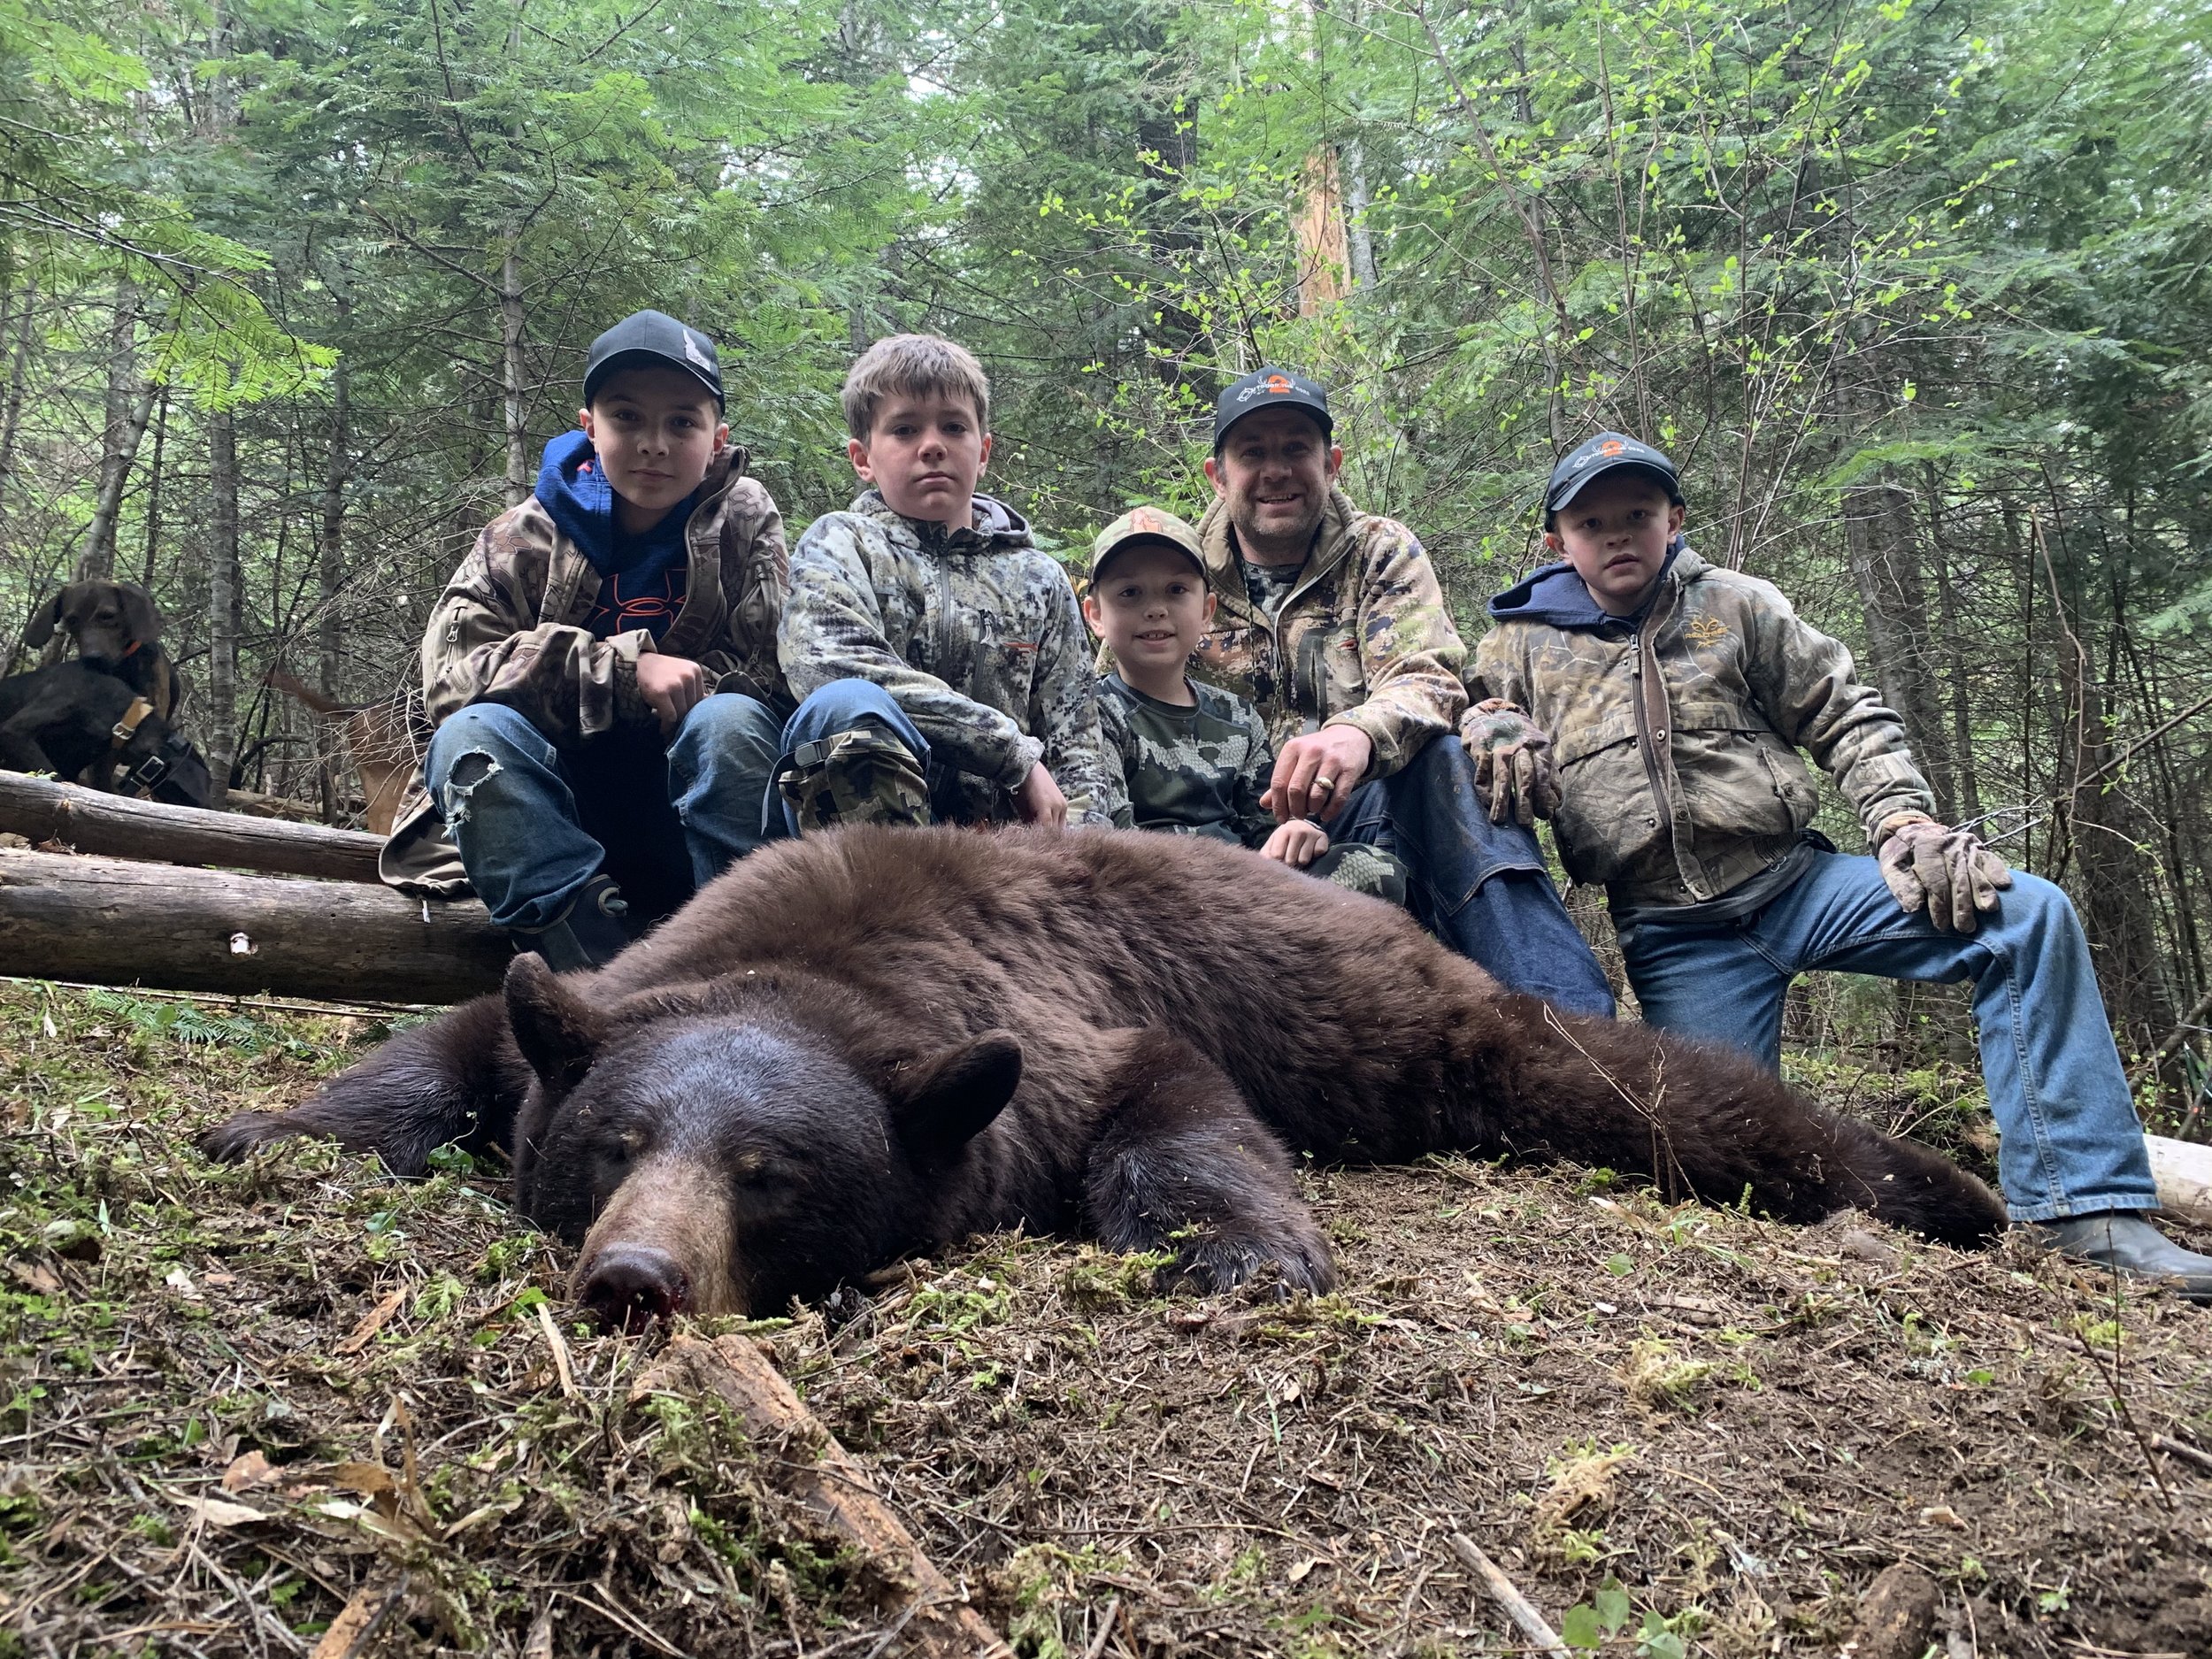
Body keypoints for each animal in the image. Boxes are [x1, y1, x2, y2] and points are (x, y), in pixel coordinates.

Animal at [200, 826, 2005, 1328]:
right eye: (617, 1140)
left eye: (770, 1174)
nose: (637, 1274)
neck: (819, 963)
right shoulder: (620, 985)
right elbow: (450, 1042)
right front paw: (269, 1124)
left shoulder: (1057, 1027)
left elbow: (1177, 1100)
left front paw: (1239, 1252)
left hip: (1437, 1035)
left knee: (1644, 1088)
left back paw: (1947, 1188)